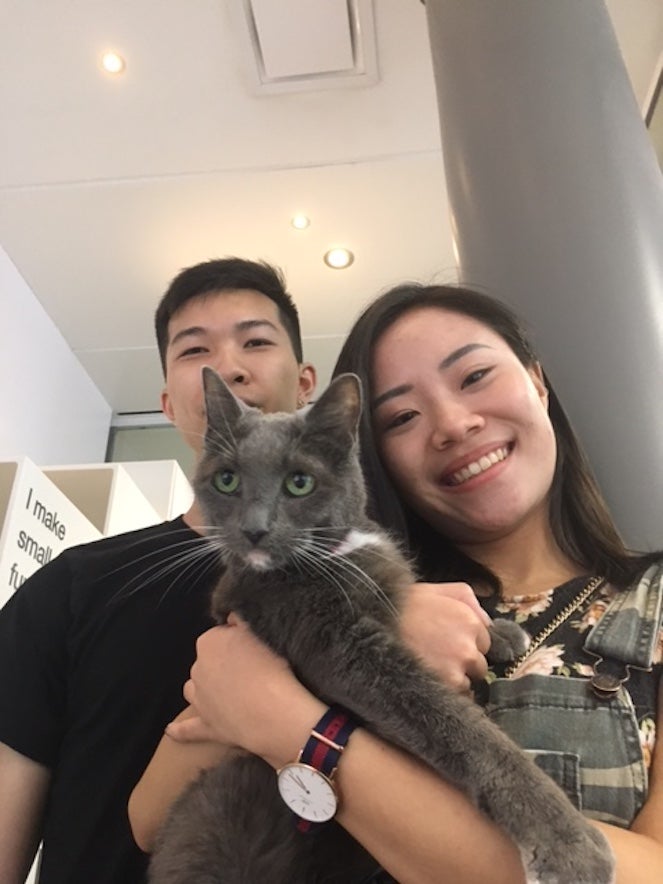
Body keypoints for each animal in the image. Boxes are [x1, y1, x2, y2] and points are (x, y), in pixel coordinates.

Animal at [148, 368, 616, 884]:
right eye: (227, 480)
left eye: (299, 483)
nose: (253, 529)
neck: (340, 549)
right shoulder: (338, 645)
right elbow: (459, 726)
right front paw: (569, 845)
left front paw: (502, 633)